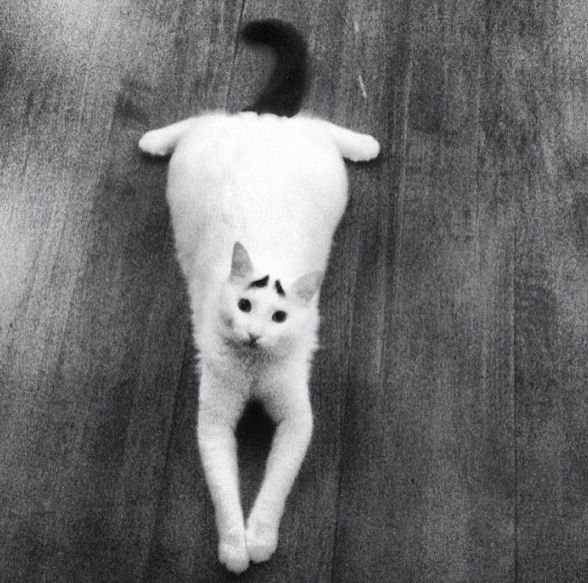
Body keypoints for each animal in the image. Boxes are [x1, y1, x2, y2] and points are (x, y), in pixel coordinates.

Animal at [139, 19, 380, 574]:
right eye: (245, 306)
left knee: (318, 124)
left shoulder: (297, 420)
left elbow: (274, 488)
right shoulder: (213, 423)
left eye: (279, 317)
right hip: (207, 144)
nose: (252, 334)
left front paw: (261, 538)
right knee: (205, 117)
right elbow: (224, 493)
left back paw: (366, 143)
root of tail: (264, 123)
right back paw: (153, 138)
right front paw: (234, 547)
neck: (252, 372)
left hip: (317, 156)